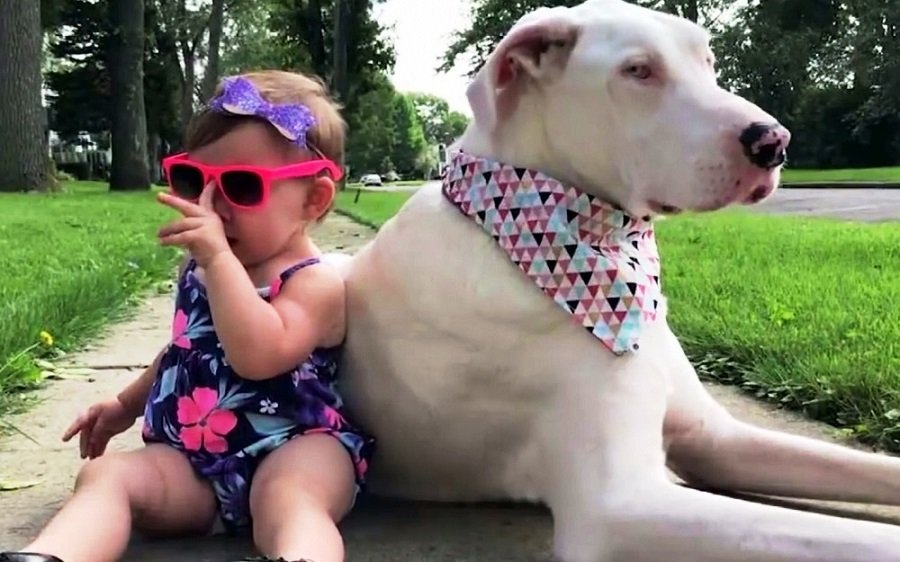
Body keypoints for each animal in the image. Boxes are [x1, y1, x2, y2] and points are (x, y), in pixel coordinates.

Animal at [326, 2, 900, 556]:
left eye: (708, 61)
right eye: (637, 71)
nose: (775, 142)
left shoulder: (715, 439)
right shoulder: (619, 509)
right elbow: (861, 539)